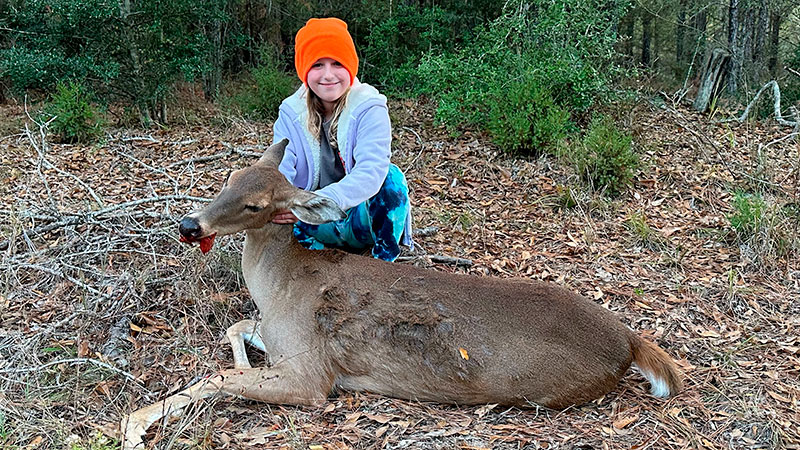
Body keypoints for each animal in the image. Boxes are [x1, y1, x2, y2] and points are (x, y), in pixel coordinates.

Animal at [120, 139, 682, 449]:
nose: (190, 225)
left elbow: (217, 378)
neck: (279, 287)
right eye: (229, 176)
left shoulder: (311, 374)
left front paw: (134, 425)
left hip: (543, 390)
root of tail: (628, 339)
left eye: (257, 204)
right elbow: (236, 331)